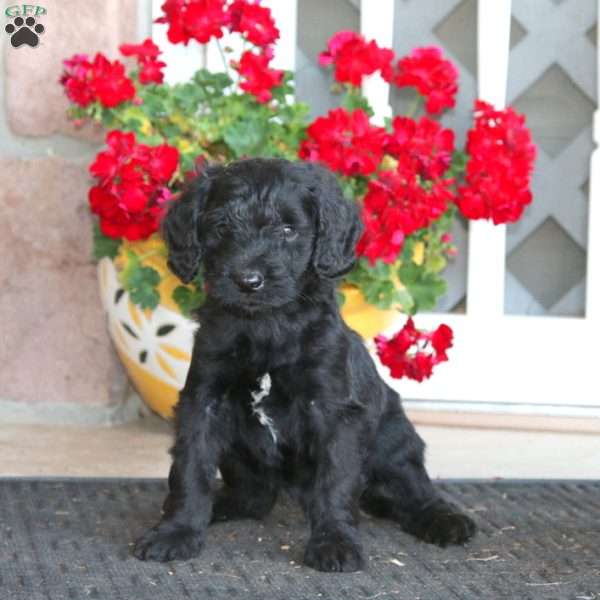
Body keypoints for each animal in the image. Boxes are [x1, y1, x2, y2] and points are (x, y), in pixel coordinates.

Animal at [134, 157, 476, 568]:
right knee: (253, 497)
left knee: (412, 489)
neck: (265, 326)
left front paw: (334, 541)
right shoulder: (204, 400)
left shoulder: (333, 410)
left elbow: (336, 479)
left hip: (394, 440)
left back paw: (445, 519)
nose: (248, 280)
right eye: (222, 227)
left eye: (287, 230)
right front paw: (177, 531)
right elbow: (190, 469)